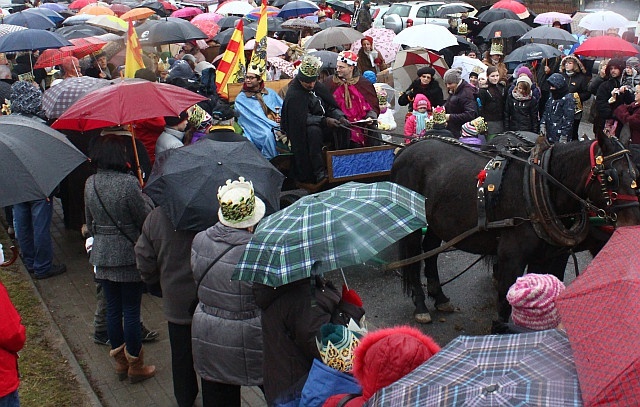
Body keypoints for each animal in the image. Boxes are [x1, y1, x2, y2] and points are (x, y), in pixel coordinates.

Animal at [390, 134, 640, 326]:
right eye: (611, 177)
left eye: (636, 174)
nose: (632, 226)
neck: (539, 187)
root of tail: (406, 149)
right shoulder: (512, 258)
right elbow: (504, 304)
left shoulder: (546, 257)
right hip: (411, 223)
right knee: (414, 259)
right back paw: (421, 305)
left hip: (436, 221)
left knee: (430, 251)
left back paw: (439, 296)